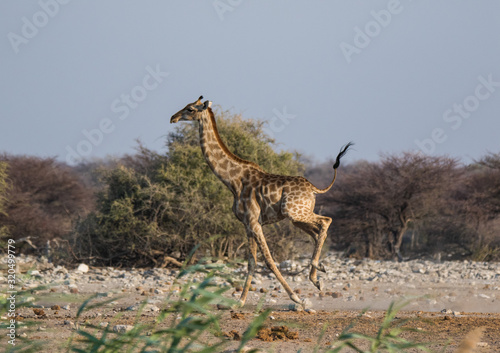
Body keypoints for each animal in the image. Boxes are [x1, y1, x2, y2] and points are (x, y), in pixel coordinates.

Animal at [171, 96, 352, 306]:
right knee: (317, 231)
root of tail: (314, 188)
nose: (173, 118)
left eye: (190, 109)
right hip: (298, 218)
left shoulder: (254, 221)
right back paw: (317, 277)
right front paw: (240, 301)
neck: (233, 180)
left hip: (294, 212)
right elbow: (252, 261)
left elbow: (268, 260)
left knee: (326, 221)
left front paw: (296, 298)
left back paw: (316, 271)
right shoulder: (247, 223)